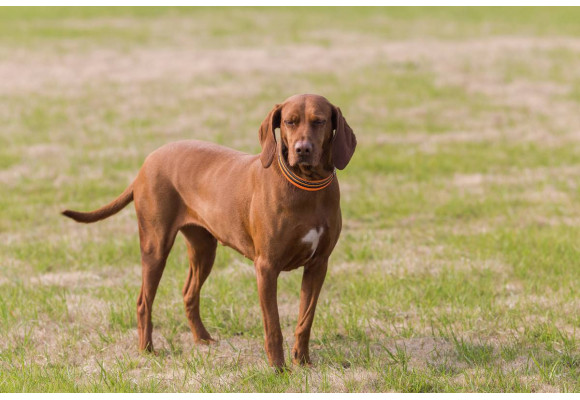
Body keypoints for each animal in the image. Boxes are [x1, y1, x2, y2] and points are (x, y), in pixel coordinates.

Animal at [61, 93, 356, 368]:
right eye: (289, 122)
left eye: (319, 121)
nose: (302, 149)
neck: (307, 187)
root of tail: (146, 164)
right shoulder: (266, 267)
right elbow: (273, 326)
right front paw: (278, 369)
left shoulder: (318, 265)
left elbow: (305, 319)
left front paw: (302, 362)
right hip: (155, 247)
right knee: (144, 301)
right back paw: (147, 350)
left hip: (204, 249)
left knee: (189, 293)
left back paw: (202, 339)